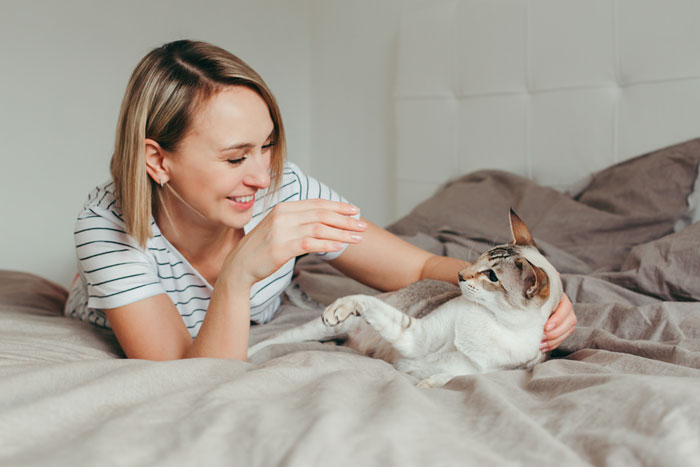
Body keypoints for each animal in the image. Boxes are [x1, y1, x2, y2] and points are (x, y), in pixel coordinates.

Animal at [247, 210, 564, 390]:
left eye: (492, 276)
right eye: (481, 258)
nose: (460, 275)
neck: (494, 323)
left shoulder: (478, 370)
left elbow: (451, 378)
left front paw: (427, 383)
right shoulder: (415, 335)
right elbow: (364, 302)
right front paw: (344, 305)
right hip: (318, 328)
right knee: (272, 340)